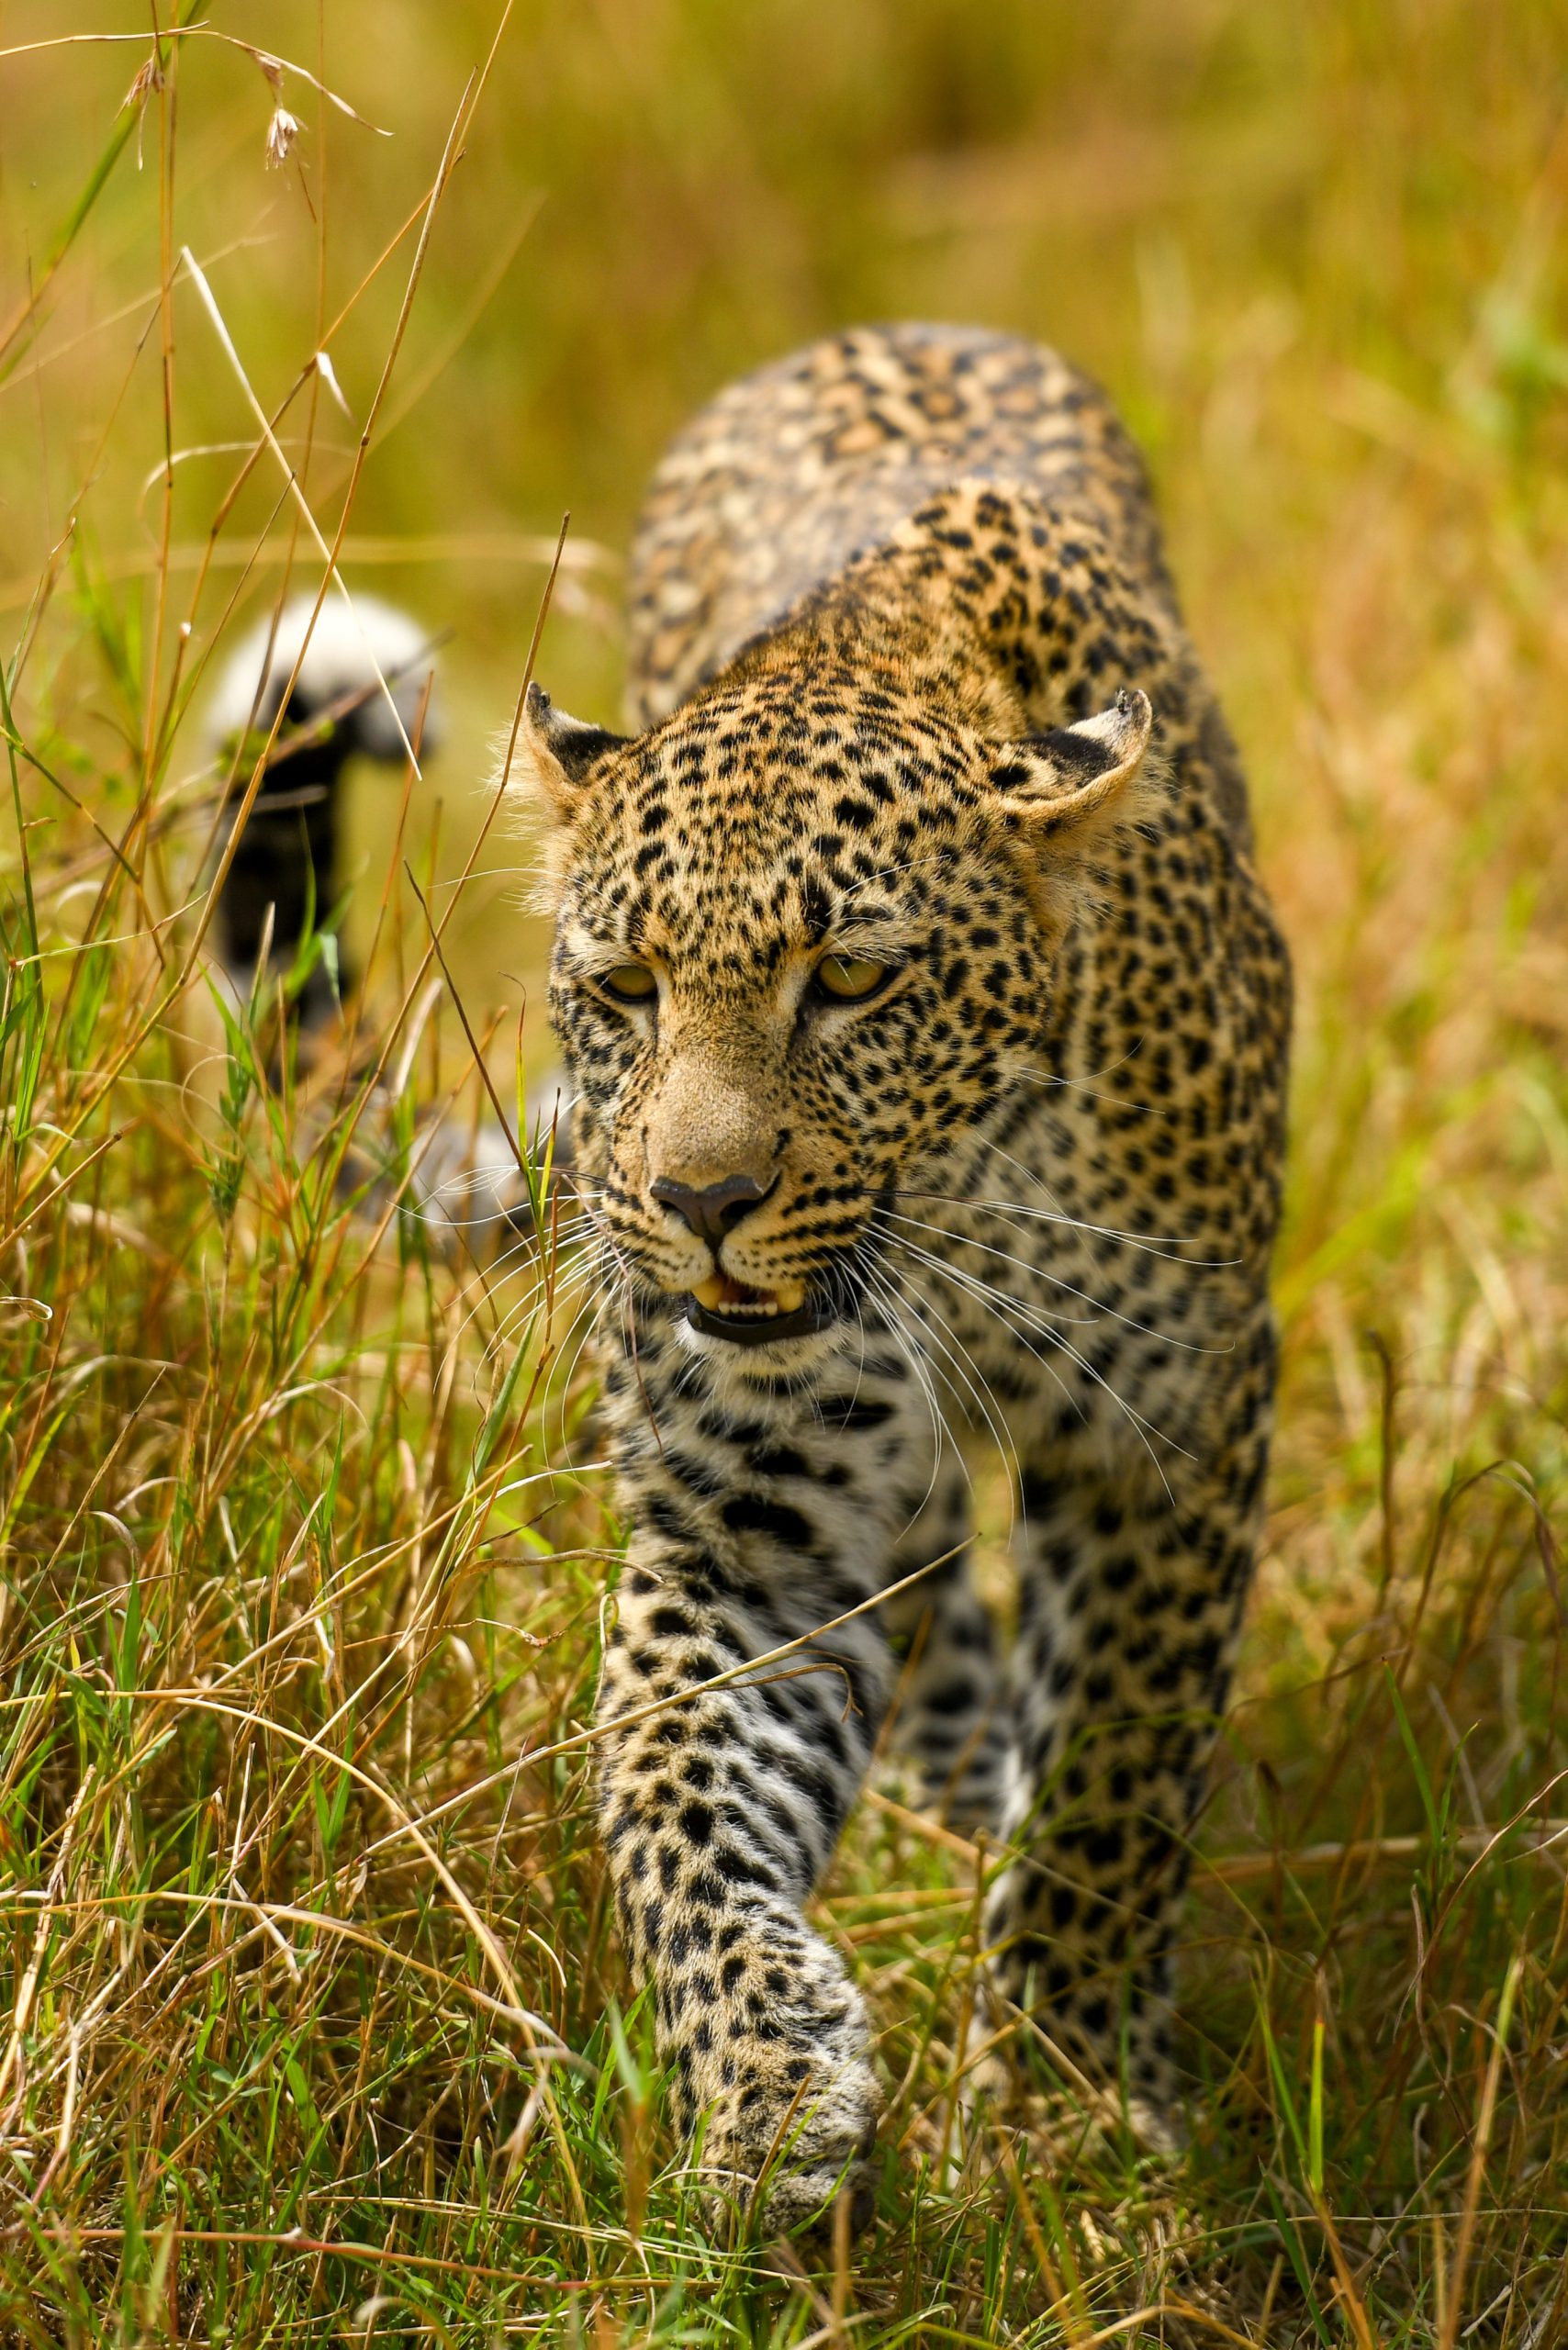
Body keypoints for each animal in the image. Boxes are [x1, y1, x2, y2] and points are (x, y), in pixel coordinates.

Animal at [514, 322, 1292, 2236]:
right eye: (625, 989)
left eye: (854, 983)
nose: (700, 1198)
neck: (960, 1207)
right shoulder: (750, 1515)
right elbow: (667, 1797)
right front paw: (769, 2088)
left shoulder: (1173, 1431)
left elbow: (1109, 1783)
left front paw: (1068, 2113)